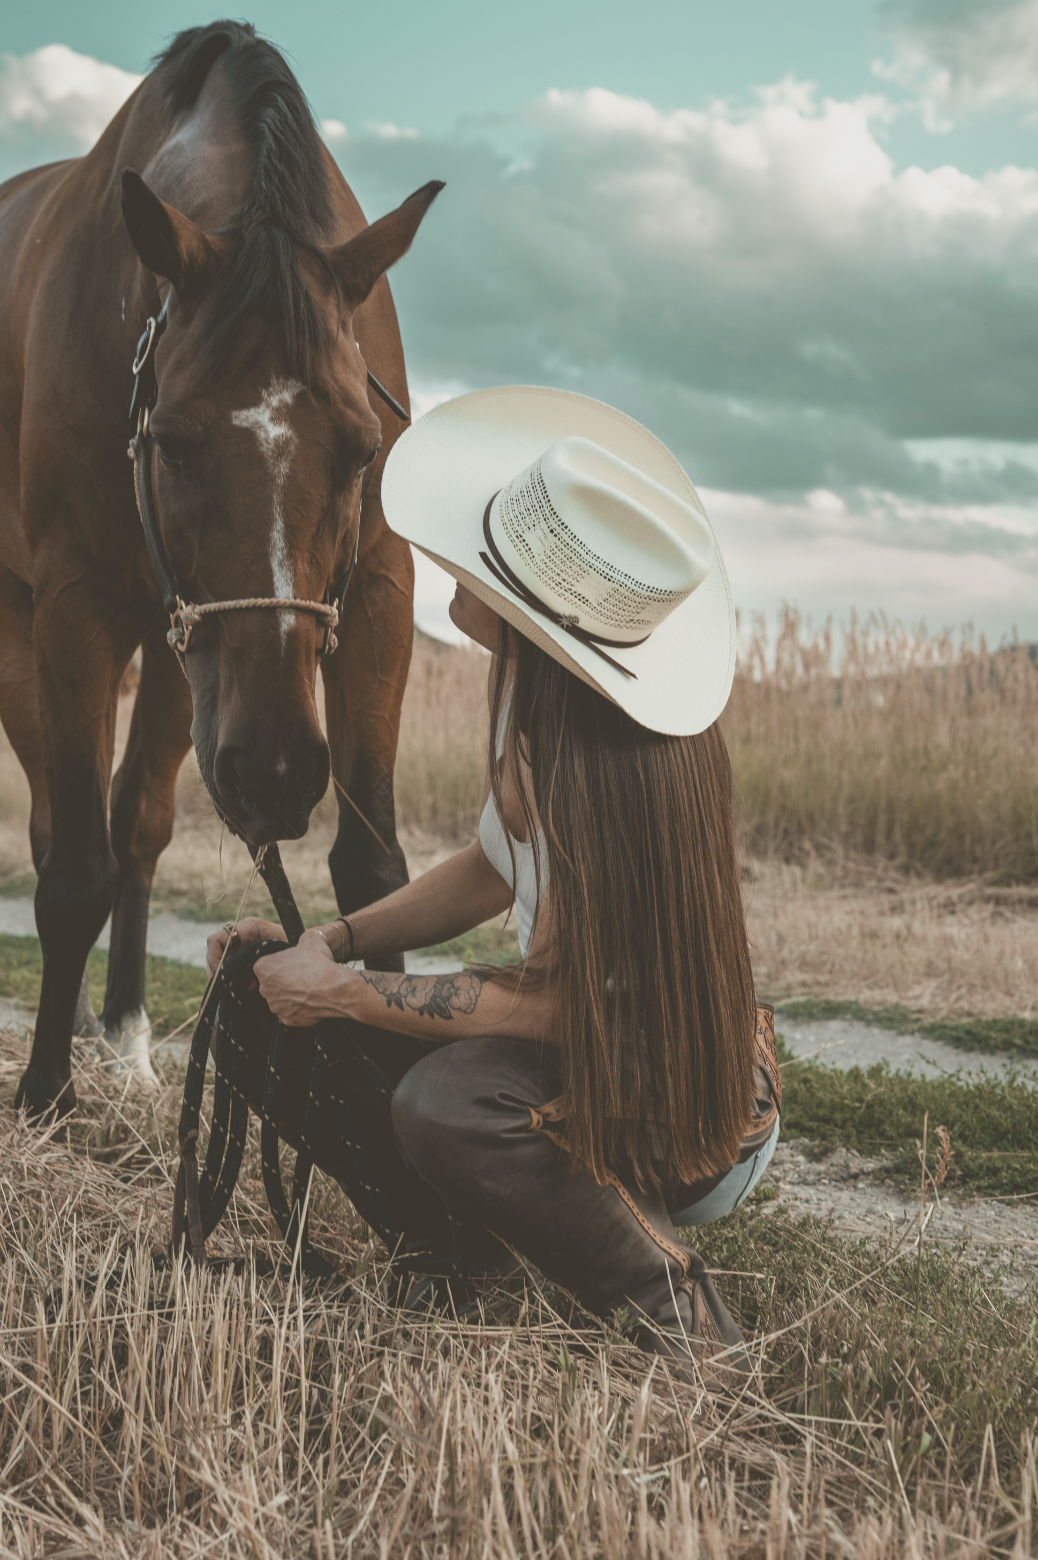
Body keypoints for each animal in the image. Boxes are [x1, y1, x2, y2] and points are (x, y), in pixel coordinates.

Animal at [0, 20, 442, 1121]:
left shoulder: (379, 594)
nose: (274, 768)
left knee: (139, 823)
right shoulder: (75, 606)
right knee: (60, 826)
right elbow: (73, 866)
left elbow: (375, 865)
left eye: (361, 449)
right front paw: (45, 1095)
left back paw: (121, 1032)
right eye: (174, 441)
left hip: (181, 659)